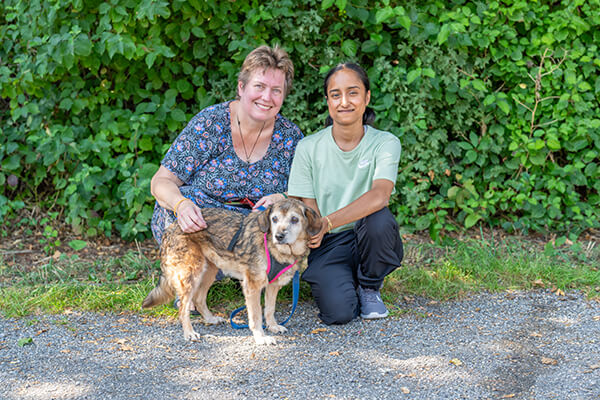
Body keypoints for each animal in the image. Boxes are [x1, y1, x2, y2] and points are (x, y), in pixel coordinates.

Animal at [142, 198, 322, 345]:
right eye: (274, 219)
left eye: (294, 219)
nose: (279, 236)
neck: (278, 249)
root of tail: (171, 227)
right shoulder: (252, 287)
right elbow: (256, 316)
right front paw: (260, 337)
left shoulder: (272, 285)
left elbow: (269, 310)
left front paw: (273, 326)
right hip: (191, 275)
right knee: (183, 309)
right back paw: (189, 333)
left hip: (209, 271)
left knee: (199, 299)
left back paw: (210, 319)